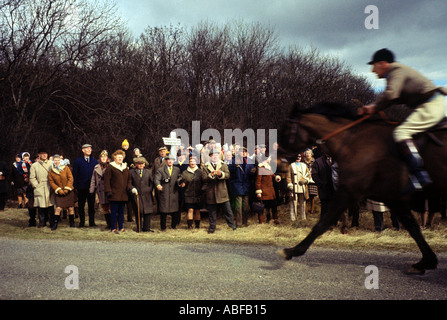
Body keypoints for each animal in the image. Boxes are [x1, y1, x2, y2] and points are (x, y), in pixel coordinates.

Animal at [276, 101, 447, 274]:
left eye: (285, 130)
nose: (277, 161)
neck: (353, 142)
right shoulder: (393, 197)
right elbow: (413, 228)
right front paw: (426, 261)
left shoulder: (349, 191)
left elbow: (323, 222)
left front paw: (292, 251)